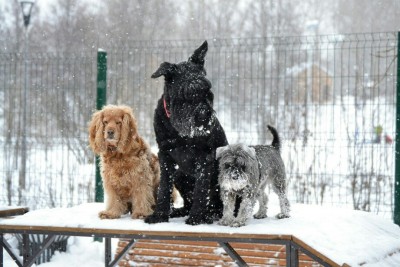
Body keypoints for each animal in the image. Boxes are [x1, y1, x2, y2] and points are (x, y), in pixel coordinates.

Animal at [145, 40, 228, 225]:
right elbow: (164, 187)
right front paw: (159, 215)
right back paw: (177, 211)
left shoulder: (204, 155)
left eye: (207, 90)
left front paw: (197, 217)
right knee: (187, 203)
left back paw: (209, 215)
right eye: (185, 92)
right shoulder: (165, 154)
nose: (204, 115)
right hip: (179, 175)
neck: (179, 132)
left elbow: (201, 189)